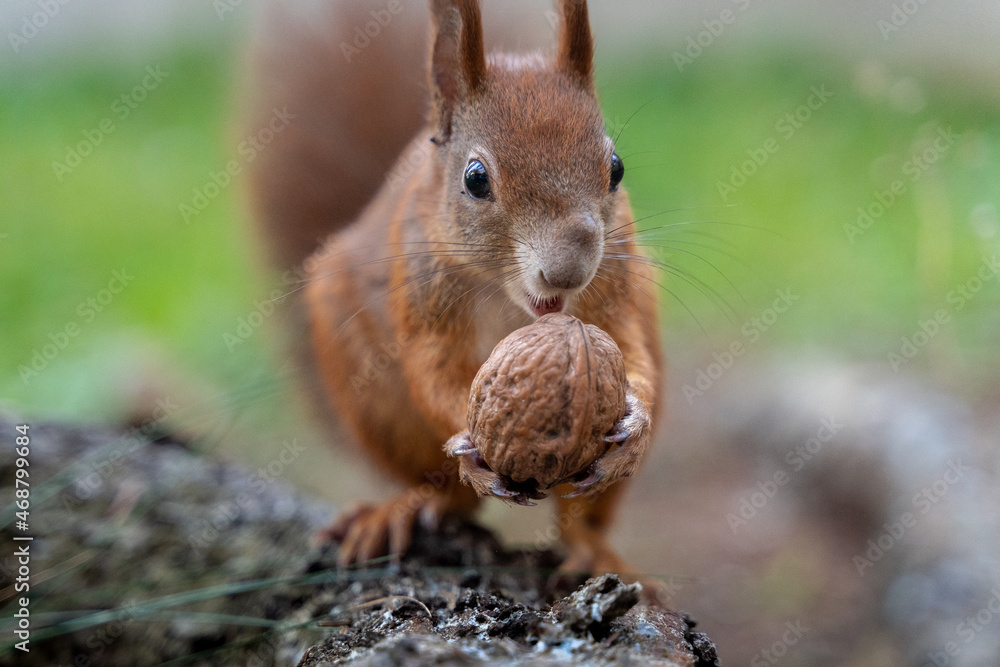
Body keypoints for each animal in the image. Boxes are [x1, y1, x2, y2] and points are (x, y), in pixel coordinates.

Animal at [247, 0, 663, 576]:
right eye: (476, 179)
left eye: (617, 169)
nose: (567, 272)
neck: (515, 305)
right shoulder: (425, 301)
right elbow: (434, 372)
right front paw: (469, 439)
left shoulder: (614, 297)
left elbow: (632, 354)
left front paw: (634, 422)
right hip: (372, 397)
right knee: (447, 496)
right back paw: (400, 510)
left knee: (577, 518)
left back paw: (593, 550)